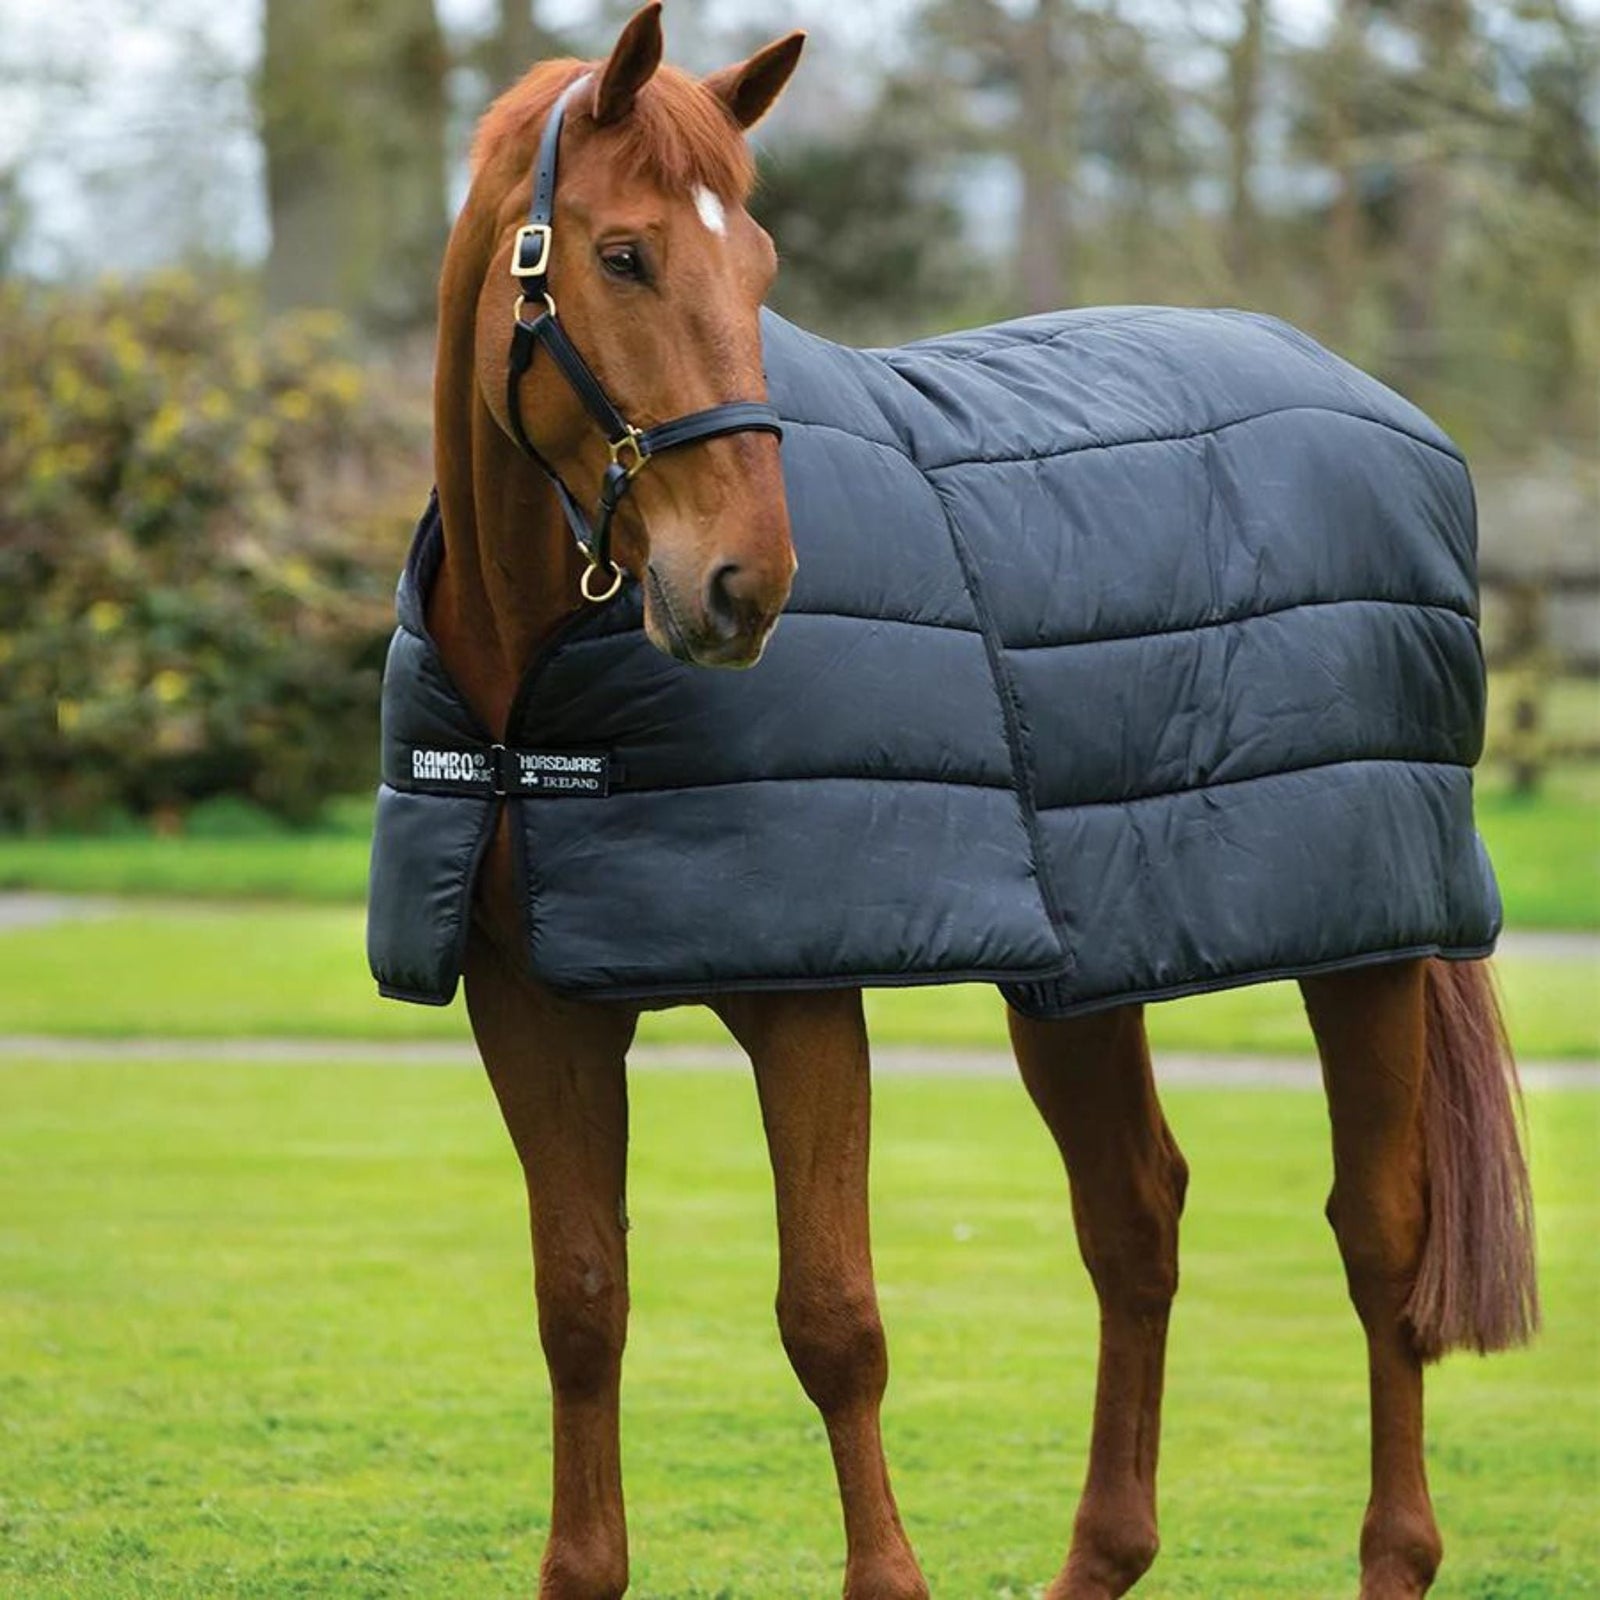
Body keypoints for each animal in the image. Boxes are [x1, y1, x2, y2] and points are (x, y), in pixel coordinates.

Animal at [409, 7, 1537, 1595]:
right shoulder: (535, 1007)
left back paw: (1395, 1552)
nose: (747, 583)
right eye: (622, 255)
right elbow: (580, 1302)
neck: (532, 693)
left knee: (1381, 1238)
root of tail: (1389, 411)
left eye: (759, 268)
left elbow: (832, 1320)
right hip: (1088, 968)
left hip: (1365, 950)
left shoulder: (803, 1000)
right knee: (1136, 1220)